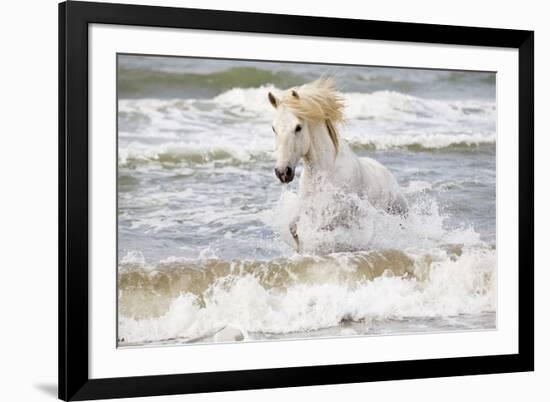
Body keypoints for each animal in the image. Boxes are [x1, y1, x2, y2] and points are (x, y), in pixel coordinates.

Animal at [270, 77, 408, 250]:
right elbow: (294, 228)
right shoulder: (308, 207)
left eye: (298, 127)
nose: (282, 172)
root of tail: (386, 173)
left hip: (398, 212)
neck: (327, 171)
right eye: (274, 128)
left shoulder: (338, 215)